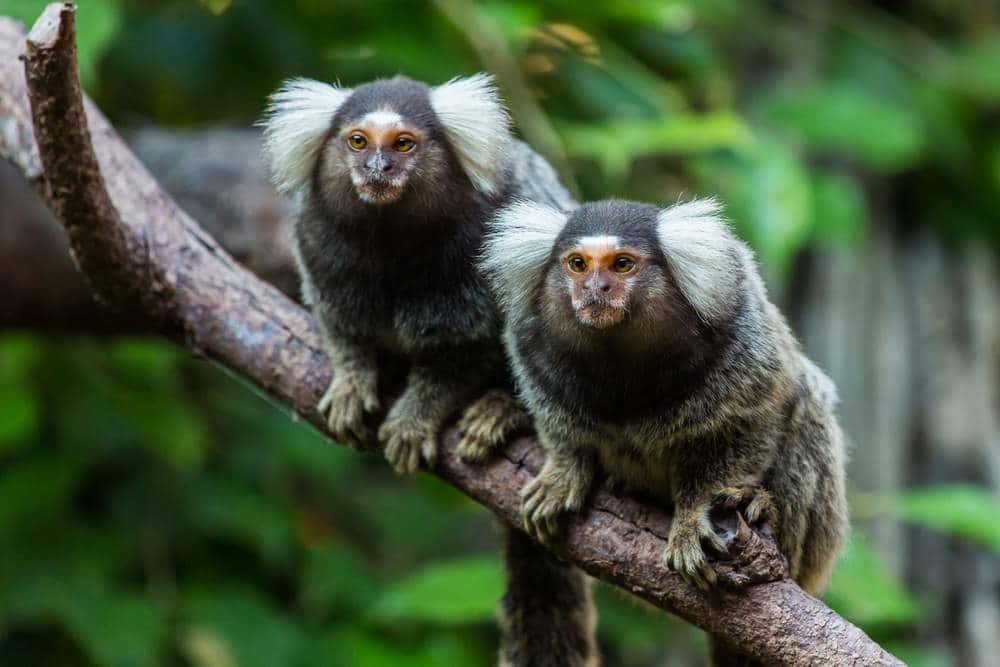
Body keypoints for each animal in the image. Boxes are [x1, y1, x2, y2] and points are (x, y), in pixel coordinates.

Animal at [260, 74, 598, 667]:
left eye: (403, 144)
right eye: (357, 141)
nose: (376, 168)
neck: (391, 240)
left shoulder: (478, 256)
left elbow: (464, 352)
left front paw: (415, 416)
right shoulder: (320, 245)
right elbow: (343, 328)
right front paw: (352, 382)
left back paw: (502, 411)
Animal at [481, 197, 848, 664]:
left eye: (623, 264)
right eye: (577, 264)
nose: (595, 289)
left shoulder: (741, 337)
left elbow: (753, 419)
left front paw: (693, 518)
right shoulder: (532, 345)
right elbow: (555, 419)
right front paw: (563, 472)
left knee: (807, 400)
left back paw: (763, 509)